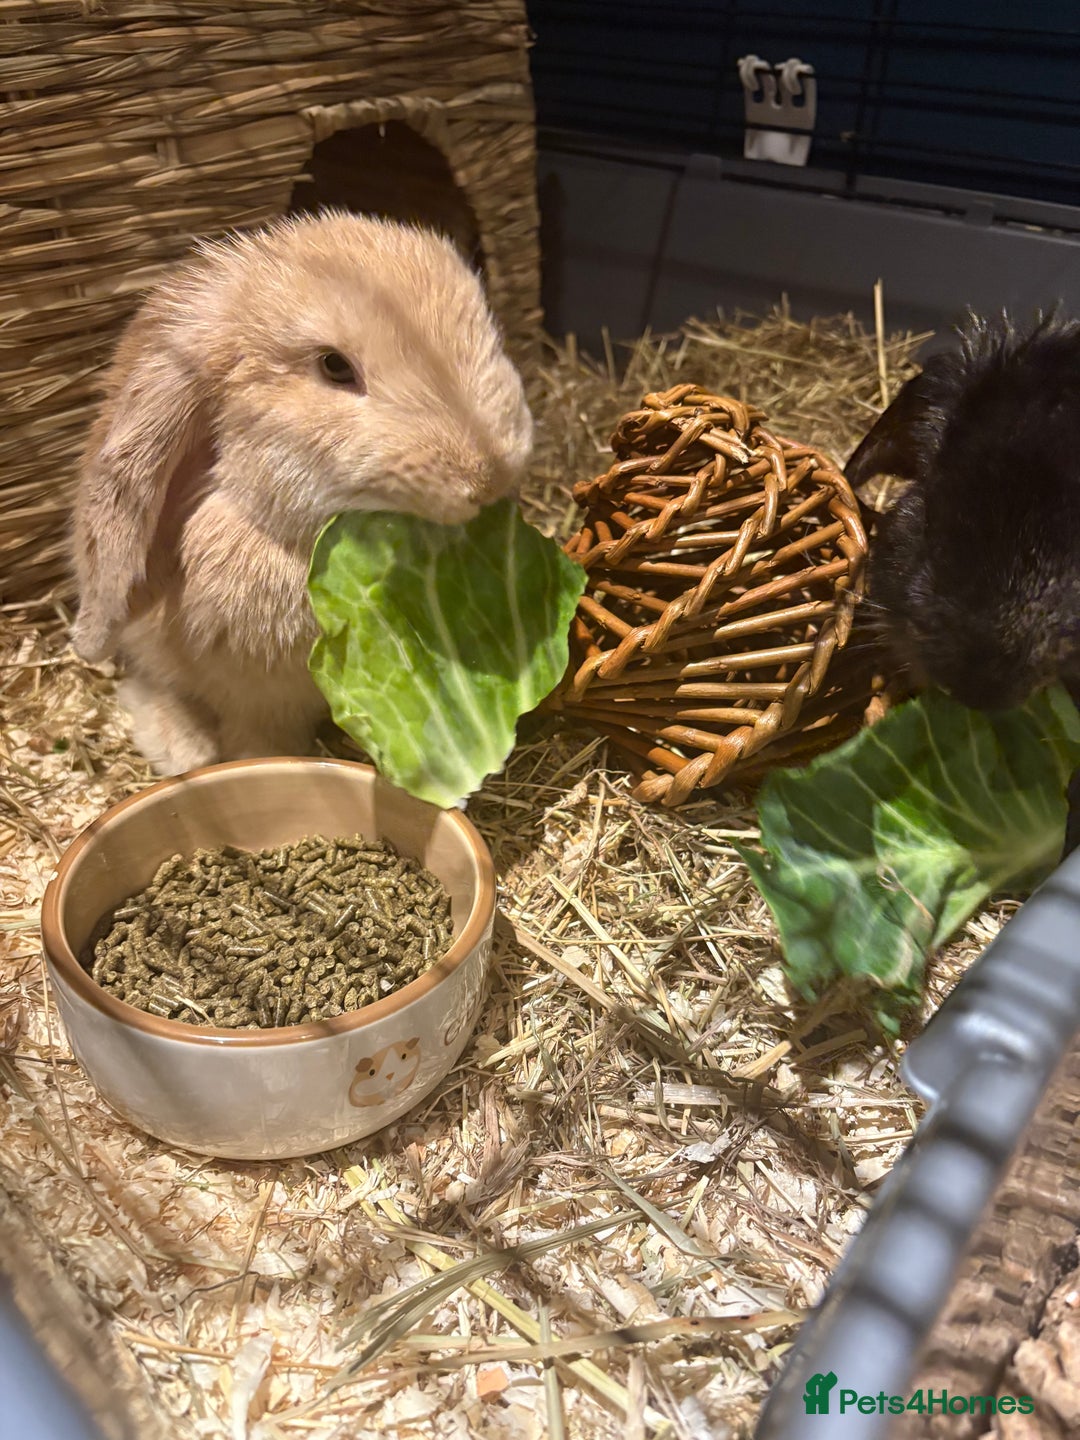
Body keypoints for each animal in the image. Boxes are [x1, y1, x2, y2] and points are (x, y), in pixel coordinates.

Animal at [71, 211, 534, 774]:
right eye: (335, 366)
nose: (490, 475)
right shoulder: (258, 701)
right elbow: (258, 740)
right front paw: (256, 760)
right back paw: (186, 749)